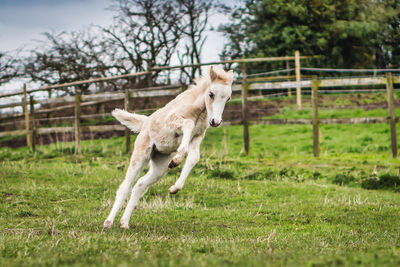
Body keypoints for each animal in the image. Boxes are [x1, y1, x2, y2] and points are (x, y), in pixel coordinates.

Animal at [104, 66, 234, 229]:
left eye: (228, 98)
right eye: (211, 94)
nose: (215, 121)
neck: (198, 110)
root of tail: (145, 122)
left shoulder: (197, 137)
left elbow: (194, 158)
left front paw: (174, 188)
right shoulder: (172, 122)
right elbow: (188, 125)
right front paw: (177, 159)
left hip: (159, 166)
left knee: (140, 185)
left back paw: (124, 223)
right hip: (141, 156)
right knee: (125, 187)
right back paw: (108, 222)